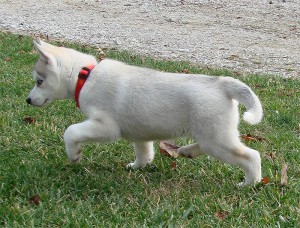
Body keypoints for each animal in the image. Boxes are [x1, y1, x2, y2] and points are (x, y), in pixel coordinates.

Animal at [28, 39, 262, 185]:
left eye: (39, 81)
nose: (28, 100)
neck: (84, 76)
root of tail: (222, 84)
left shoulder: (105, 126)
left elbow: (71, 131)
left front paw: (74, 154)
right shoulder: (140, 134)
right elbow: (144, 152)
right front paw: (137, 166)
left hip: (217, 139)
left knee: (251, 156)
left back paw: (250, 183)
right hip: (213, 136)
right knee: (206, 146)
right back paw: (187, 151)